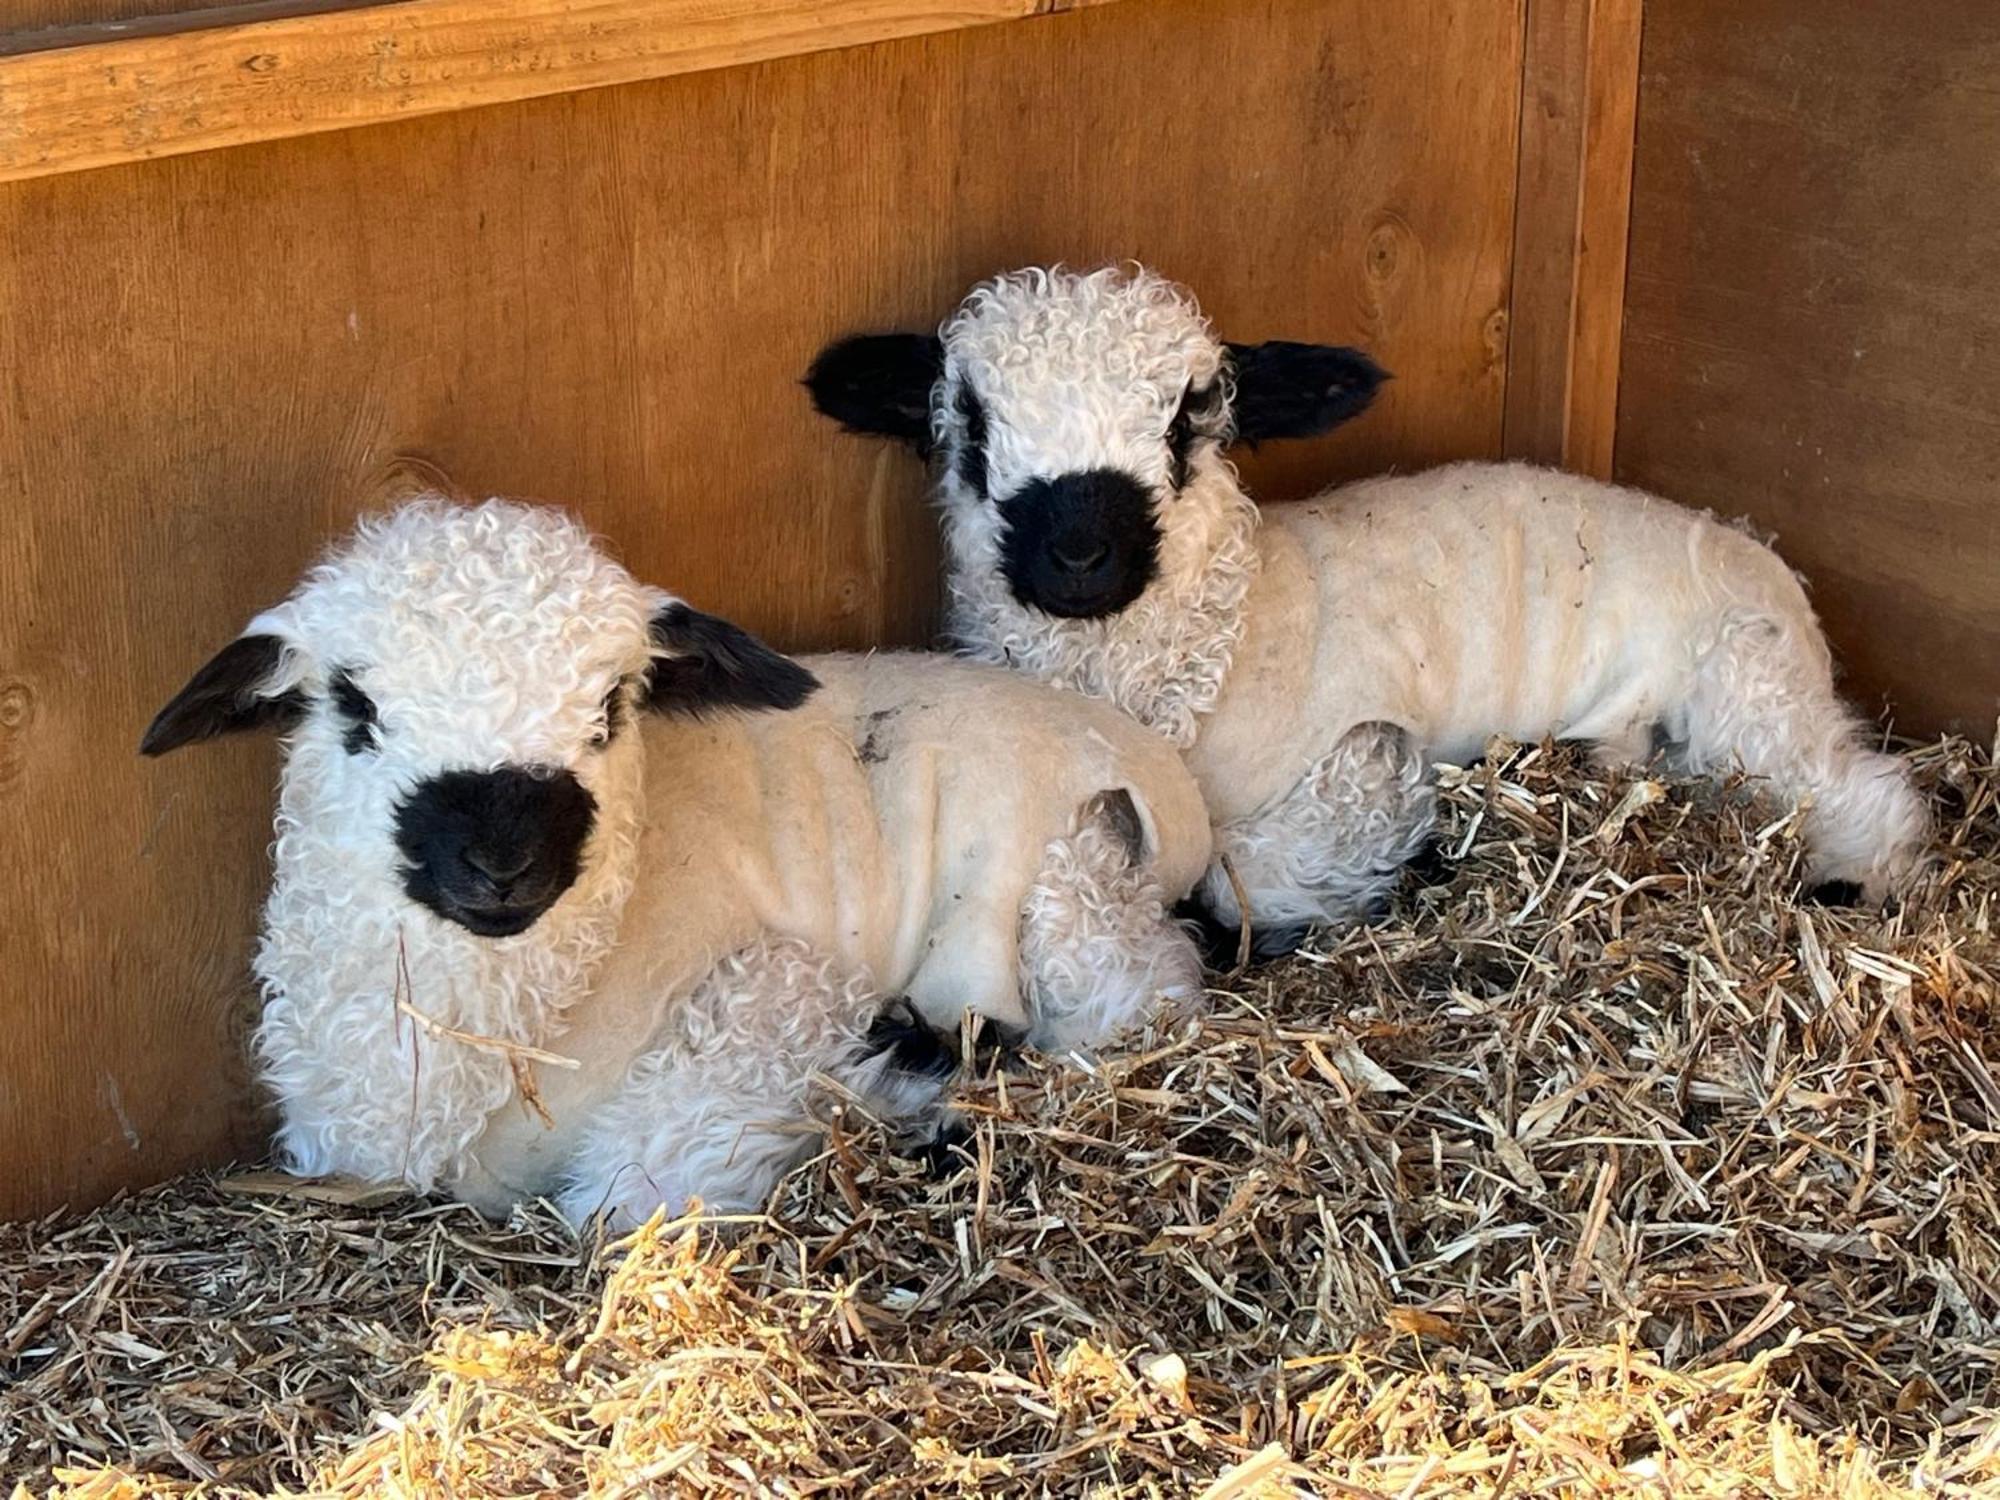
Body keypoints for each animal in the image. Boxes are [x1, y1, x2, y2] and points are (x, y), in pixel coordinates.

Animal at [141, 500, 1208, 1224]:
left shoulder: (777, 986)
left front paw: (903, 1091)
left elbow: (632, 1189)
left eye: (611, 708)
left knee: (1137, 994)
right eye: (354, 707)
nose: (502, 864)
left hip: (1069, 883)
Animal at [804, 264, 1928, 956]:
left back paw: (1862, 876)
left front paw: (1390, 878)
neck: (1215, 639)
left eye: (1185, 425)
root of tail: (1757, 549)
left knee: (1855, 785)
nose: (1079, 554)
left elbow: (1243, 879)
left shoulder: (1359, 760)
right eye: (971, 429)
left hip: (1745, 683)